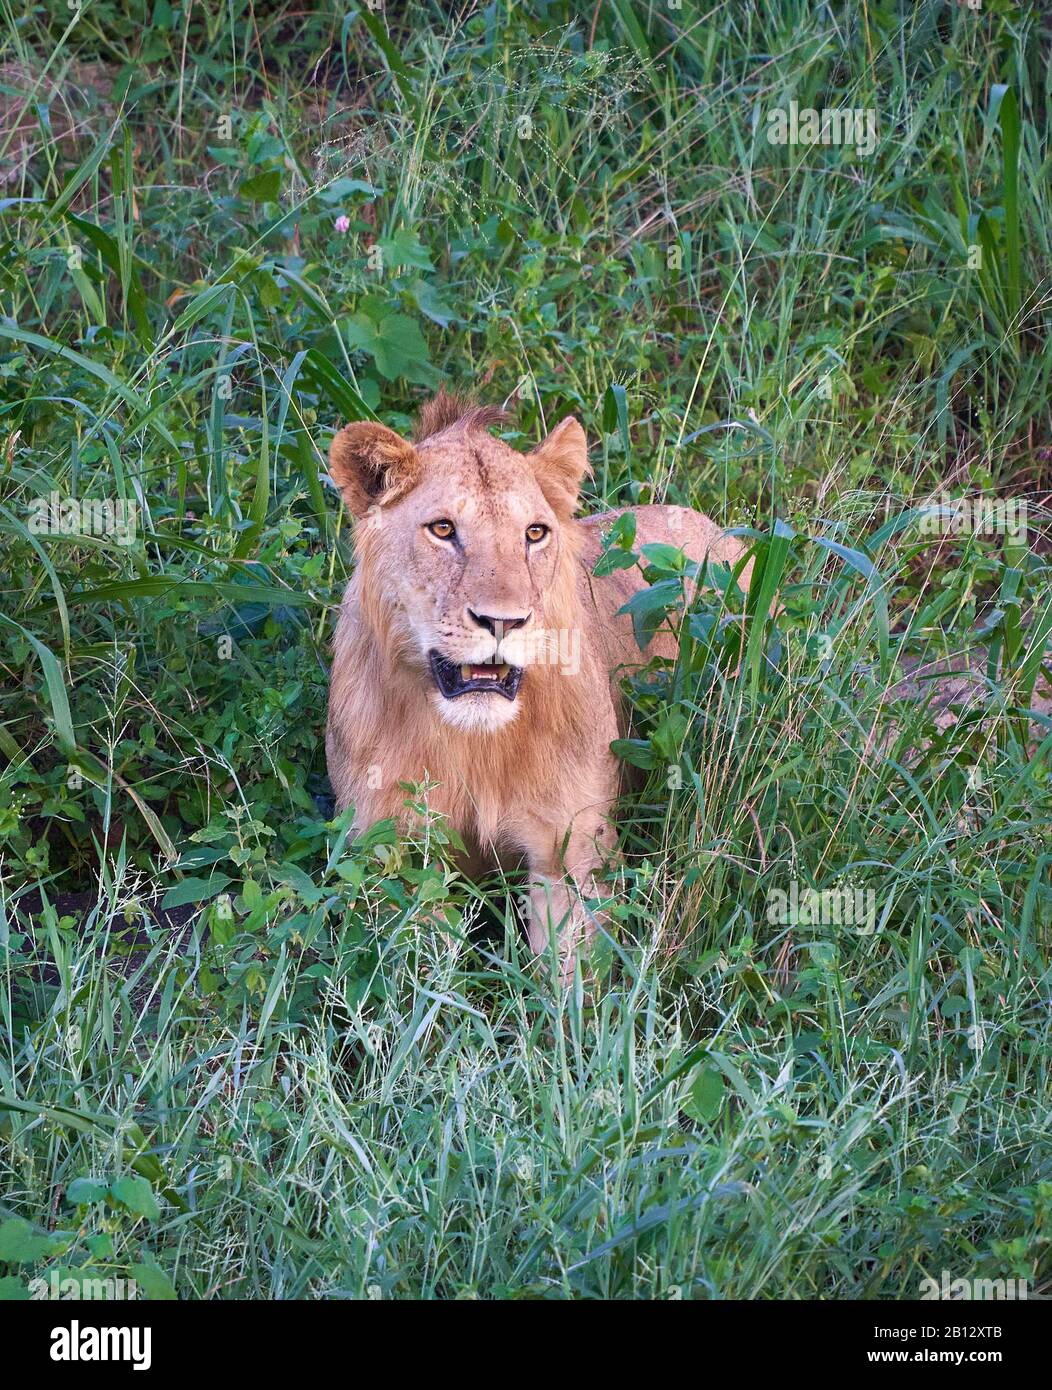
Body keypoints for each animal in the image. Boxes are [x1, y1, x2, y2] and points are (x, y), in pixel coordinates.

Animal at [326, 393, 752, 982]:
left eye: (534, 533)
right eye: (442, 530)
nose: (503, 621)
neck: (474, 744)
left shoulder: (573, 856)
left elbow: (571, 983)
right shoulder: (394, 857)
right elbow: (421, 979)